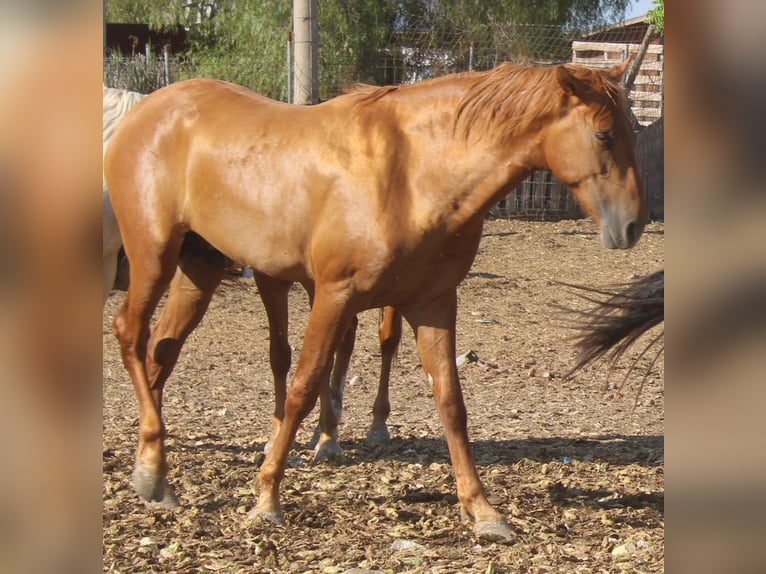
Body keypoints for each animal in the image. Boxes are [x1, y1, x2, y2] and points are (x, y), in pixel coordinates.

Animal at [106, 60, 648, 544]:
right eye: (604, 135)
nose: (632, 226)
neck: (412, 172)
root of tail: (146, 112)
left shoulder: (432, 304)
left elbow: (451, 402)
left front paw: (482, 509)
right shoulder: (333, 295)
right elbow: (304, 385)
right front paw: (266, 497)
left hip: (197, 270)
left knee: (161, 352)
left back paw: (152, 471)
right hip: (153, 256)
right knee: (130, 332)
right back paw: (153, 471)